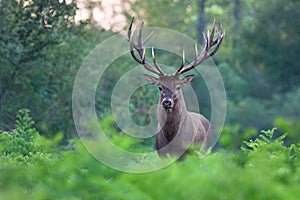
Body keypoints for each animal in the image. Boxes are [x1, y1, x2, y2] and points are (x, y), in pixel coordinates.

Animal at [126, 17, 223, 158]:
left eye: (178, 87)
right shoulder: (161, 153)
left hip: (204, 150)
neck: (172, 141)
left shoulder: (187, 154)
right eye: (160, 87)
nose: (167, 102)